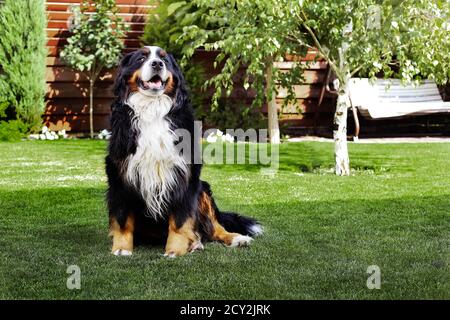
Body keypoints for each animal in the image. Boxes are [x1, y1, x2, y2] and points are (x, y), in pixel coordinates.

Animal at [105, 46, 262, 258]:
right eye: (141, 58)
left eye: (164, 60)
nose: (157, 64)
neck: (152, 110)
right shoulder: (119, 174)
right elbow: (122, 220)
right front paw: (121, 248)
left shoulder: (185, 175)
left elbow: (180, 221)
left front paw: (175, 250)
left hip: (203, 189)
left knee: (213, 227)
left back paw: (233, 238)